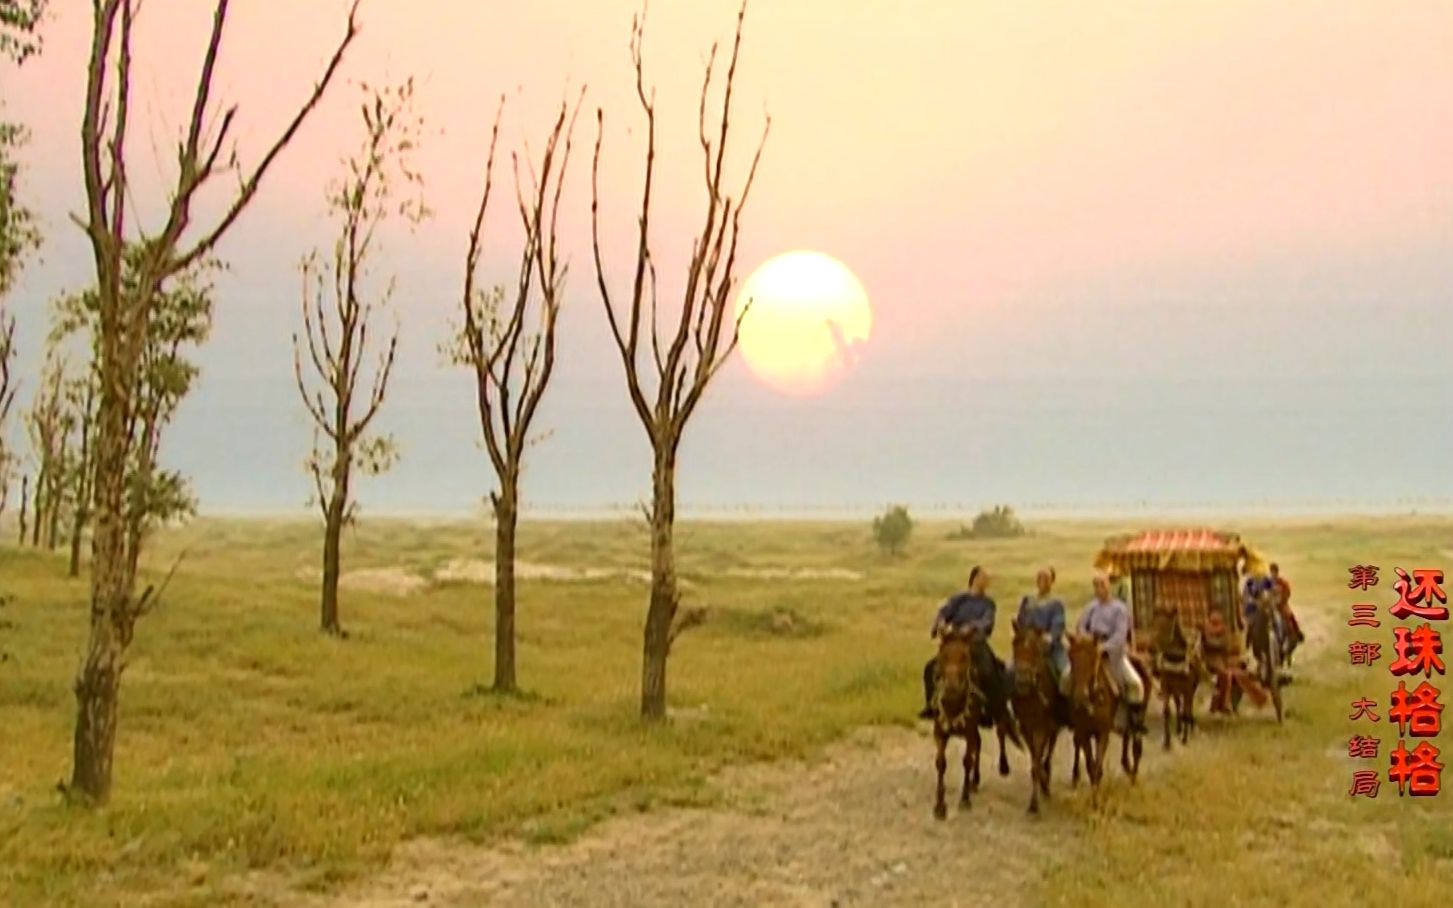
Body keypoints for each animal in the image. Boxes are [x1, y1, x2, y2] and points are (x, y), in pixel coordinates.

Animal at [1011, 618, 1069, 813]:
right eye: (1015, 644)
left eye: (1036, 649)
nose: (1022, 682)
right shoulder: (1026, 728)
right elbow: (1034, 762)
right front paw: (1040, 788)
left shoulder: (1041, 728)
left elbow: (1038, 761)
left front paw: (1034, 804)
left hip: (1053, 727)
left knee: (1049, 750)